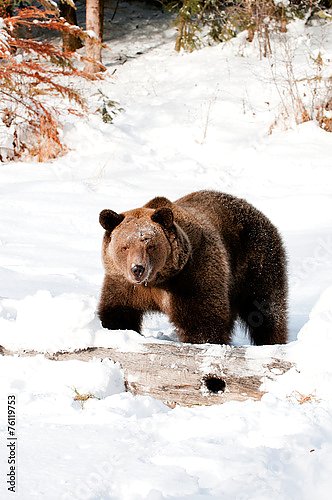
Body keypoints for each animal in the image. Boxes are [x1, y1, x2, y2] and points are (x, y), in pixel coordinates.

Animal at [97, 189, 286, 346]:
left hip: (256, 262)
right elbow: (117, 313)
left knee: (266, 310)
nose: (137, 269)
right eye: (125, 246)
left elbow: (203, 321)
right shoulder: (123, 284)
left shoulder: (193, 275)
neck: (158, 280)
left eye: (150, 245)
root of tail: (256, 211)